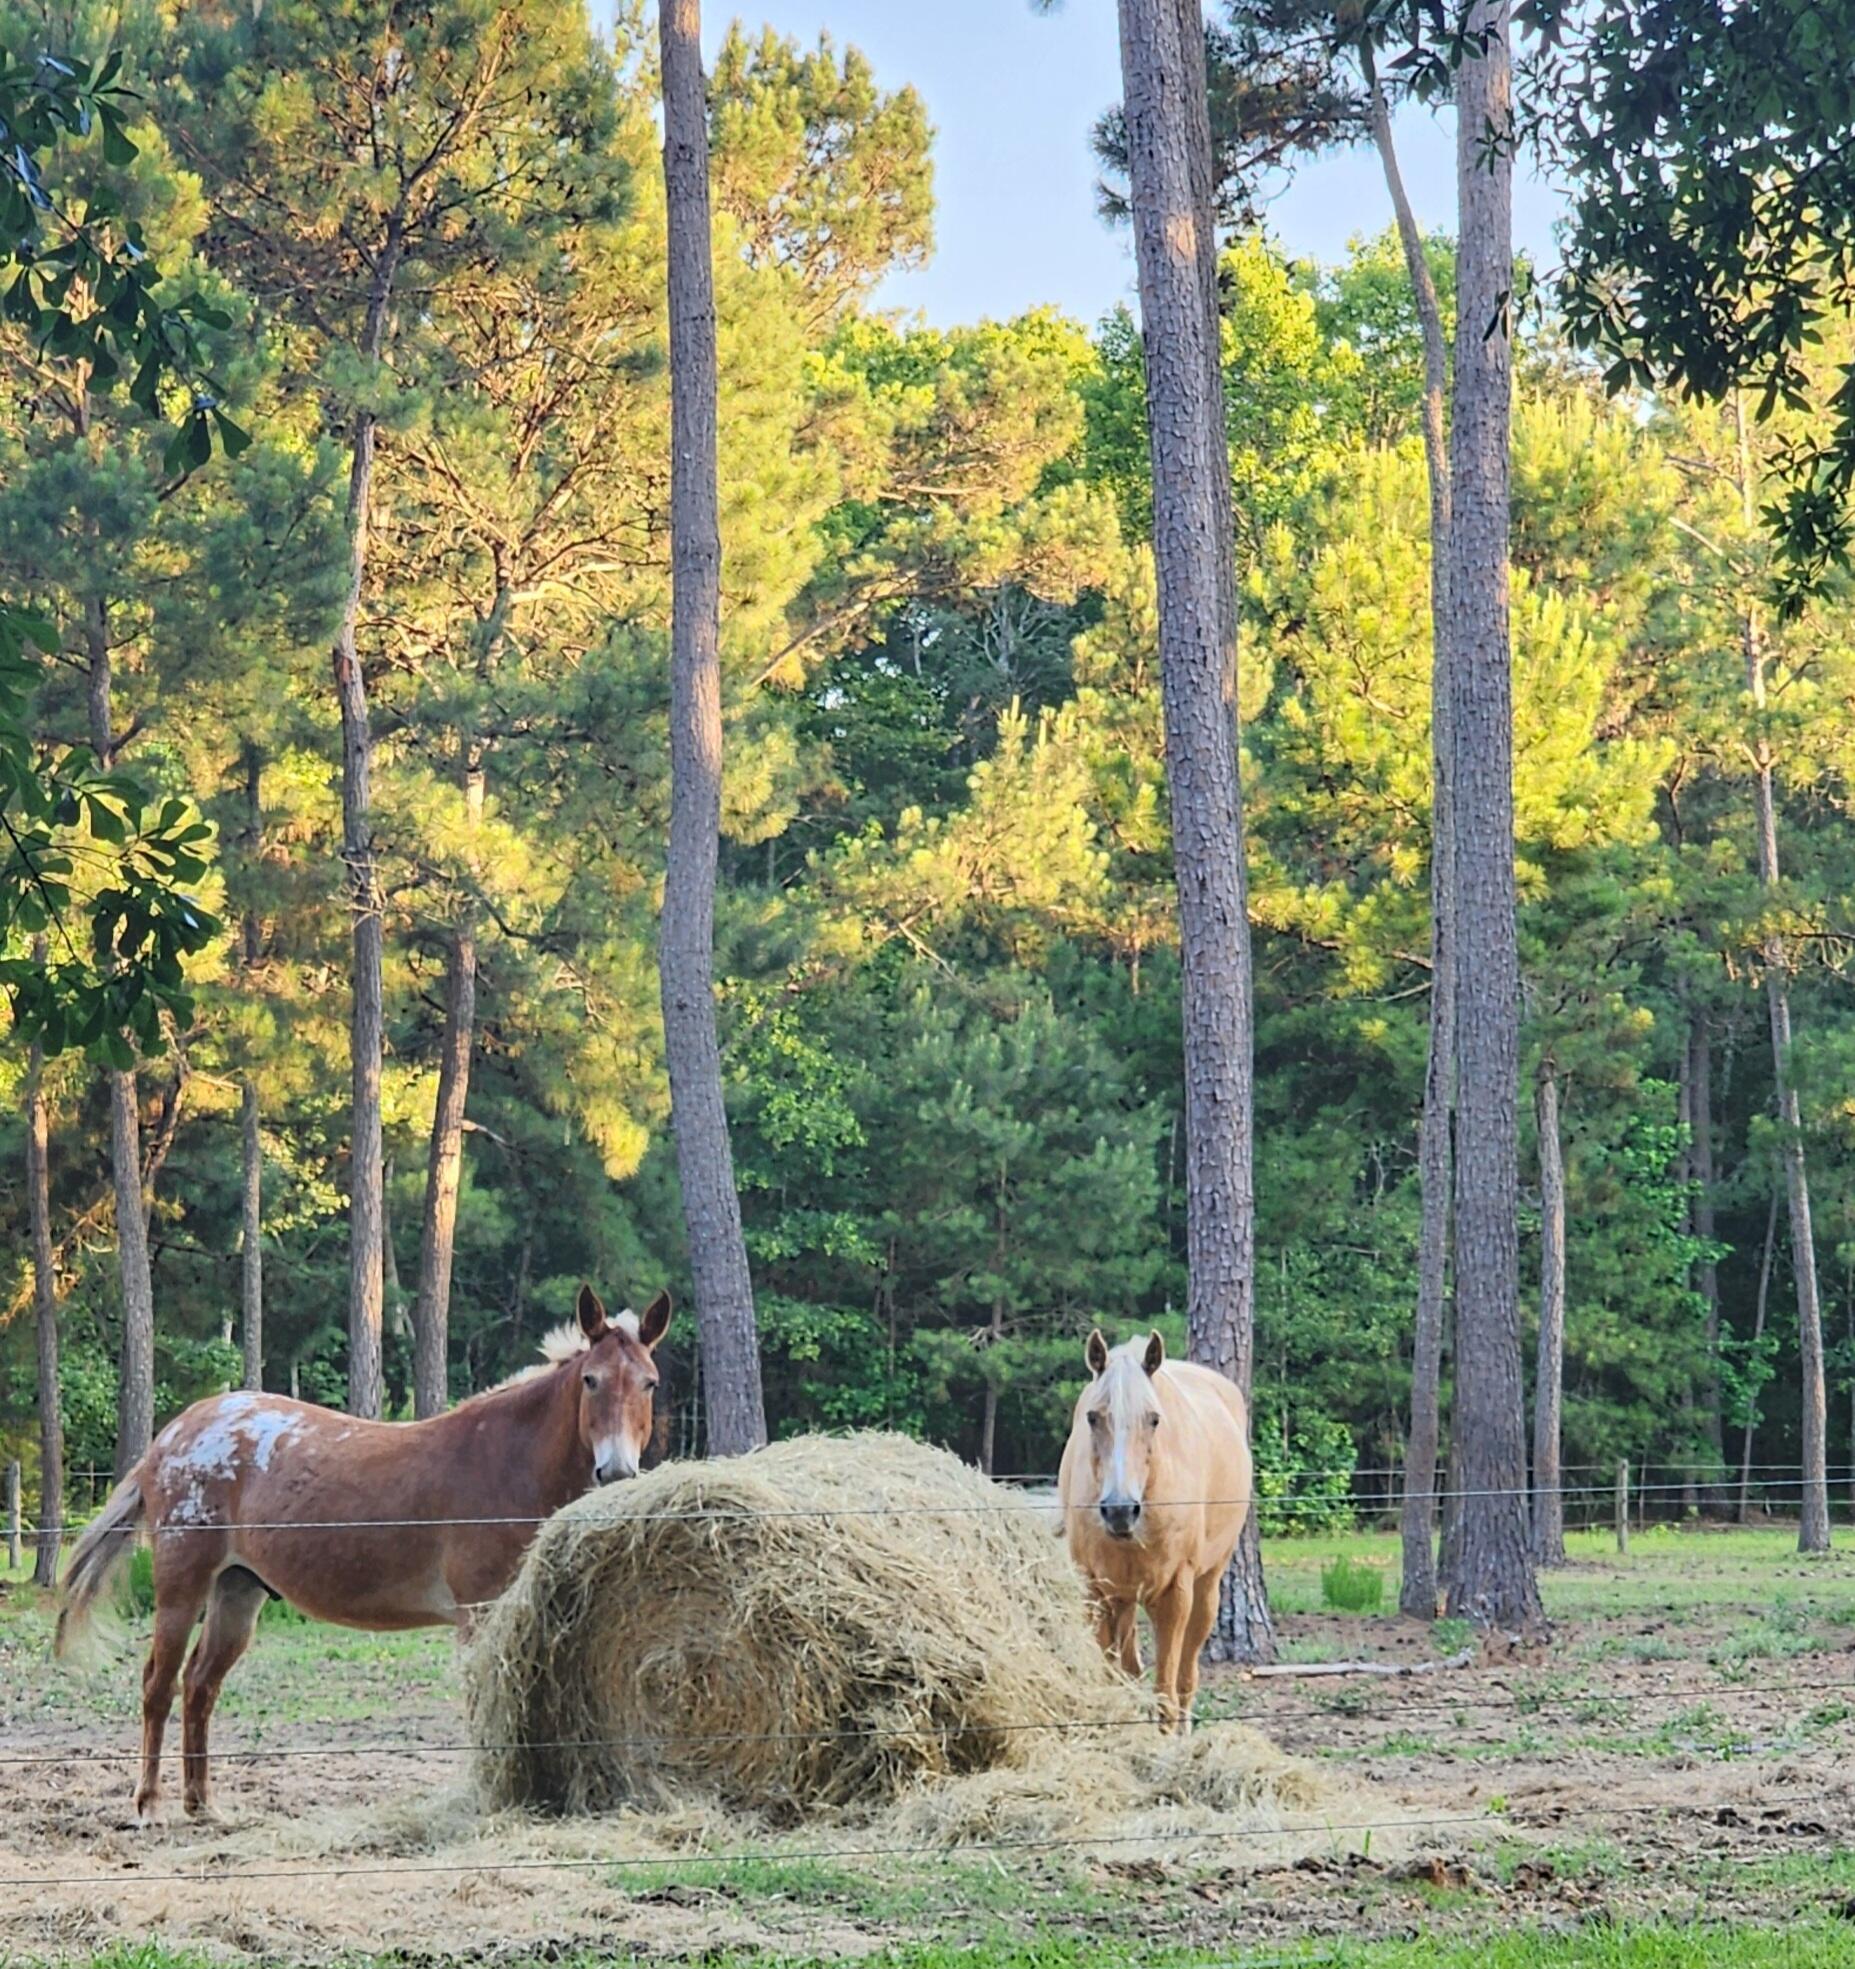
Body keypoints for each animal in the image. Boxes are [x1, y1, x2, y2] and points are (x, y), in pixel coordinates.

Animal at [56, 1283, 669, 1824]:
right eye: (590, 1380)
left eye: (649, 1383)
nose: (616, 1471)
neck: (505, 1459)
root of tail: (173, 1435)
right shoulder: (477, 1614)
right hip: (181, 1588)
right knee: (158, 1685)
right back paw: (148, 1805)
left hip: (237, 1592)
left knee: (200, 1686)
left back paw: (202, 1804)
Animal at [1056, 1326, 1253, 1732]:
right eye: (1092, 1417)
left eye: (1154, 1419)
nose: (1119, 1510)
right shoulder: (1096, 1591)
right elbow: (1112, 1679)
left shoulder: (1175, 1594)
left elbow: (1166, 1690)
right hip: (1125, 1599)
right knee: (1131, 1669)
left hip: (1206, 1588)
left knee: (1186, 1678)